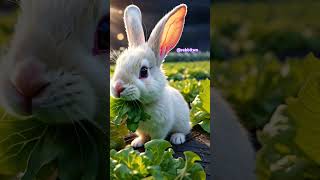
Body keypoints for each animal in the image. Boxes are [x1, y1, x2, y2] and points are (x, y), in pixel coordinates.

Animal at [110, 4, 190, 148]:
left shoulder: (161, 128)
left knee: (184, 131)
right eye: (118, 64)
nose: (118, 88)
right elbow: (143, 136)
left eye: (144, 71)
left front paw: (153, 146)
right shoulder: (141, 129)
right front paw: (137, 143)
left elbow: (157, 139)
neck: (144, 105)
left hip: (183, 122)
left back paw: (177, 138)